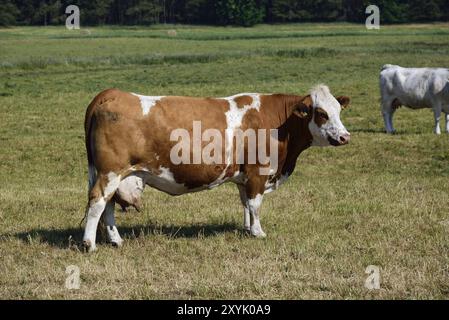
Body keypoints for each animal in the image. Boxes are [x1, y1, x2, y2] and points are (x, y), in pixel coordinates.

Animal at [83, 85, 350, 252]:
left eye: (338, 110)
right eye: (321, 113)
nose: (345, 136)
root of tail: (111, 93)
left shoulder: (244, 177)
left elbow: (245, 203)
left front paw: (247, 228)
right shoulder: (258, 173)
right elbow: (255, 204)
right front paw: (258, 232)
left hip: (113, 174)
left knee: (108, 204)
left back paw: (116, 240)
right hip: (110, 172)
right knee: (98, 201)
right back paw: (89, 244)